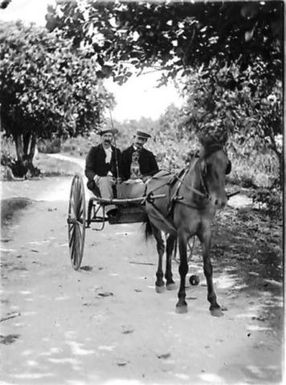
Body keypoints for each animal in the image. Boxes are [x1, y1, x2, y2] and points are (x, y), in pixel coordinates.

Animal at [144, 142, 231, 316]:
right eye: (206, 167)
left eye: (227, 166)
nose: (220, 201)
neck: (196, 199)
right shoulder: (183, 234)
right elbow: (183, 267)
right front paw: (181, 301)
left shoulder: (205, 233)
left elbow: (208, 267)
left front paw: (214, 303)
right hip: (155, 223)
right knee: (161, 248)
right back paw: (159, 281)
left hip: (171, 229)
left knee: (169, 248)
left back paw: (170, 280)